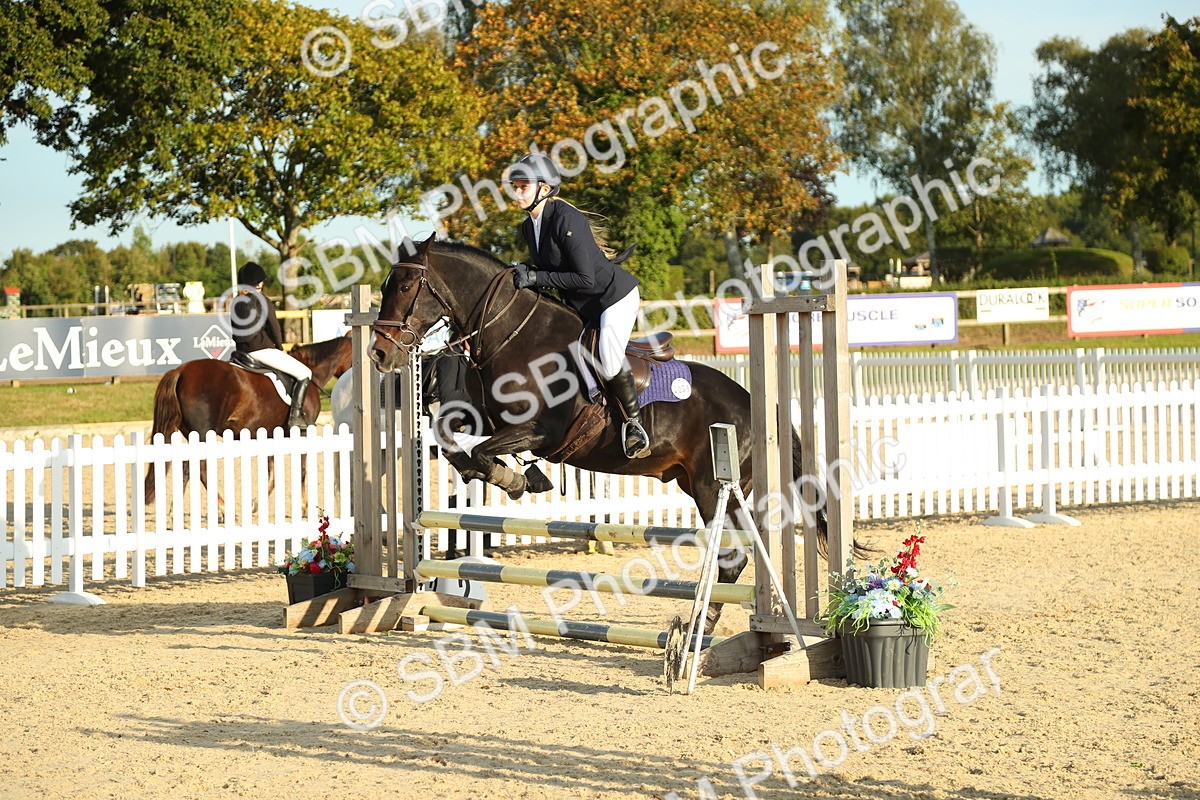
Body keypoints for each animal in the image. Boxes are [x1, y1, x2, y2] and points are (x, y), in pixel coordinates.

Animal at [144, 334, 354, 504]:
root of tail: (180, 371)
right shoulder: (302, 433)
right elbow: (300, 469)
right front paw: (303, 506)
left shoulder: (271, 434)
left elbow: (273, 472)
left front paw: (256, 504)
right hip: (203, 434)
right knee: (198, 469)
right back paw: (222, 508)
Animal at [369, 235, 862, 633]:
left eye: (406, 287)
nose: (378, 354)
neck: (513, 336)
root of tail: (754, 405)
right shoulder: (488, 419)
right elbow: (453, 441)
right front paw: (514, 477)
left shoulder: (539, 431)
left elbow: (482, 452)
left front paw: (513, 478)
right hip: (700, 484)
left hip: (714, 488)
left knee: (734, 556)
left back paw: (701, 629)